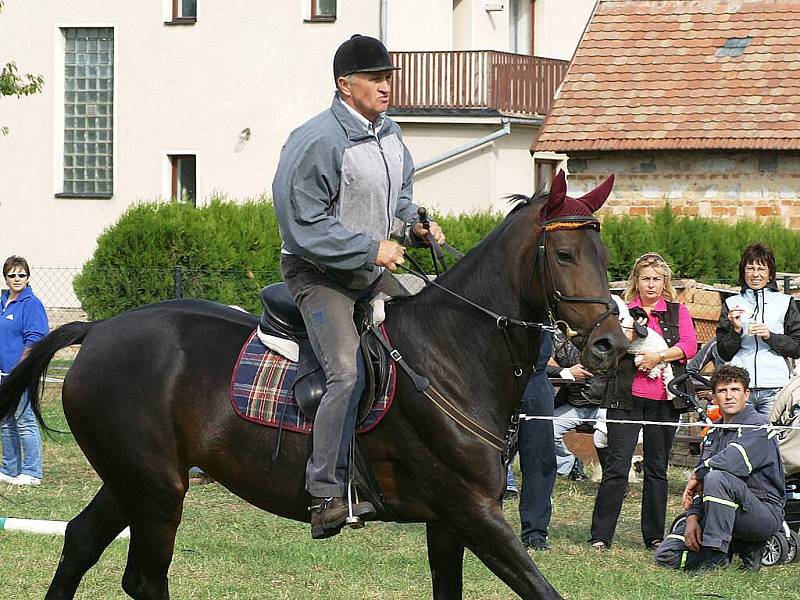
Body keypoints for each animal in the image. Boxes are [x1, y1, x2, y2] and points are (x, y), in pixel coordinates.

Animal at [0, 171, 628, 596]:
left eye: (604, 254)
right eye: (564, 253)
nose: (610, 346)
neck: (453, 353)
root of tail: (97, 330)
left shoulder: (450, 522)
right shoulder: (474, 512)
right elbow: (542, 590)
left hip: (133, 481)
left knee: (79, 541)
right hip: (155, 491)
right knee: (143, 579)